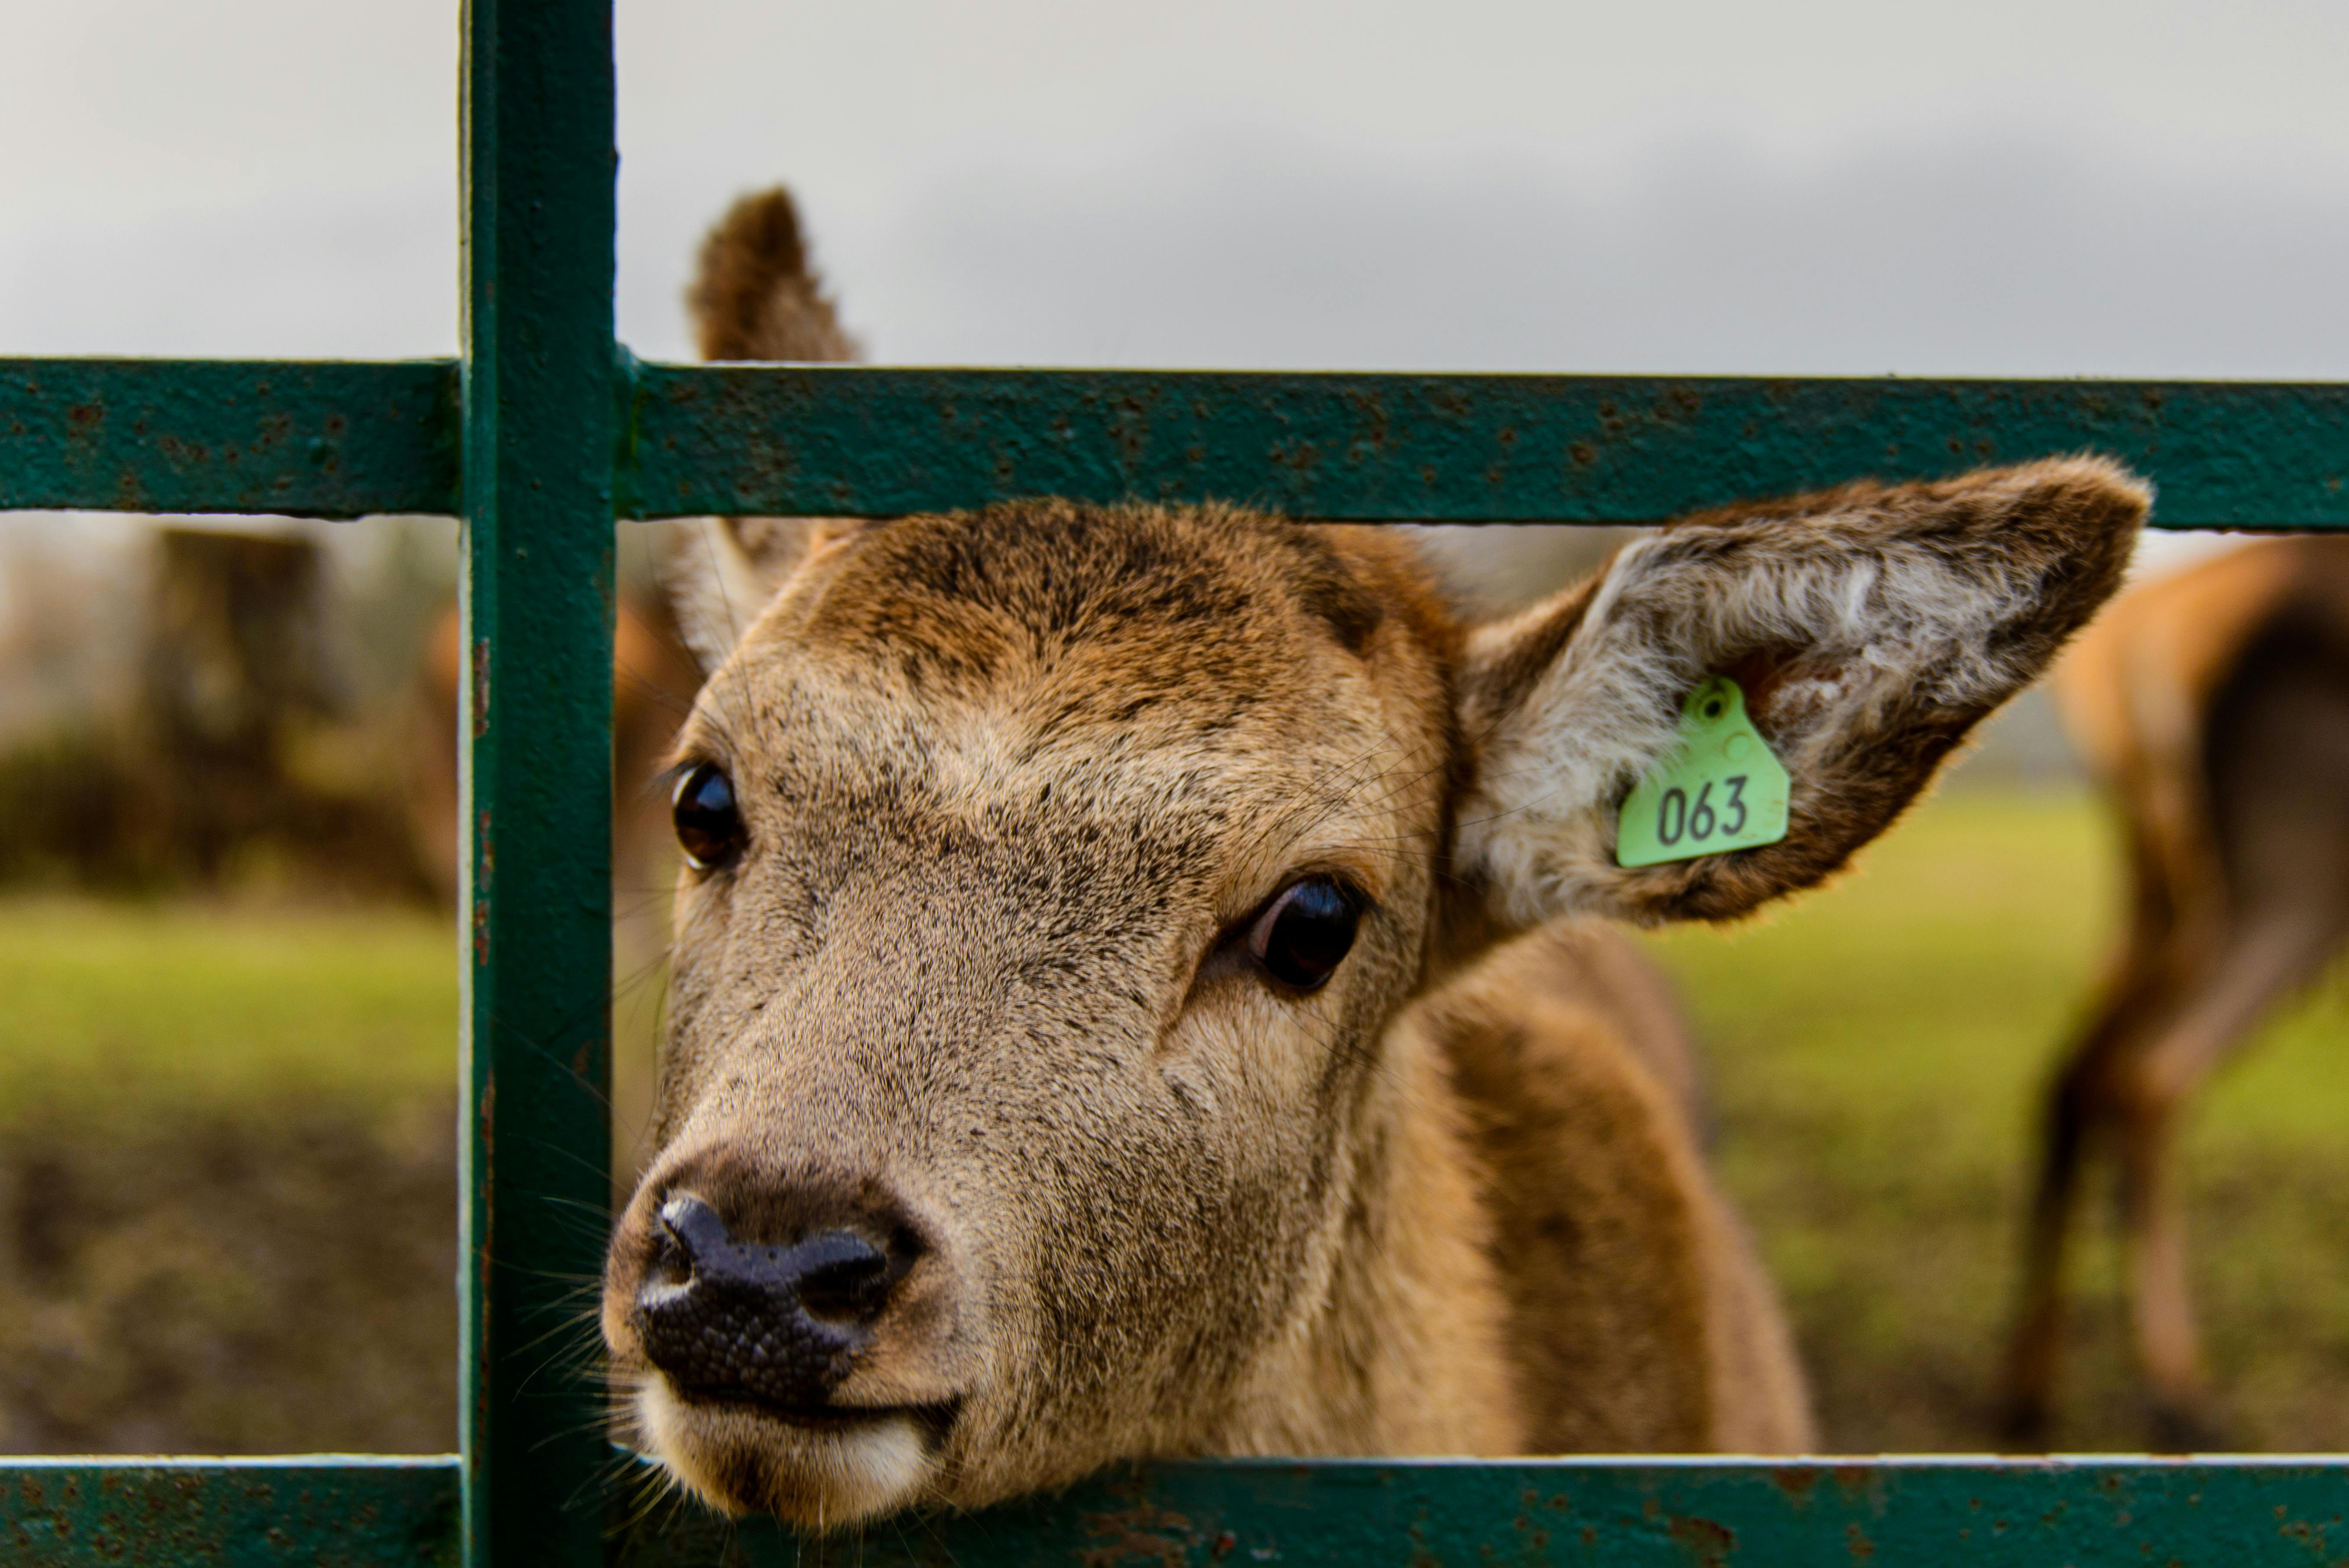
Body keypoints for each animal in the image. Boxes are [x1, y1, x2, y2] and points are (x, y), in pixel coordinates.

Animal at [2001, 535, 2349, 1446]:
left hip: (2155, 879)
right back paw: (2174, 1384)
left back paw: (2033, 1388)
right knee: (2151, 1070)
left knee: (2072, 1070)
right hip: (2284, 873)